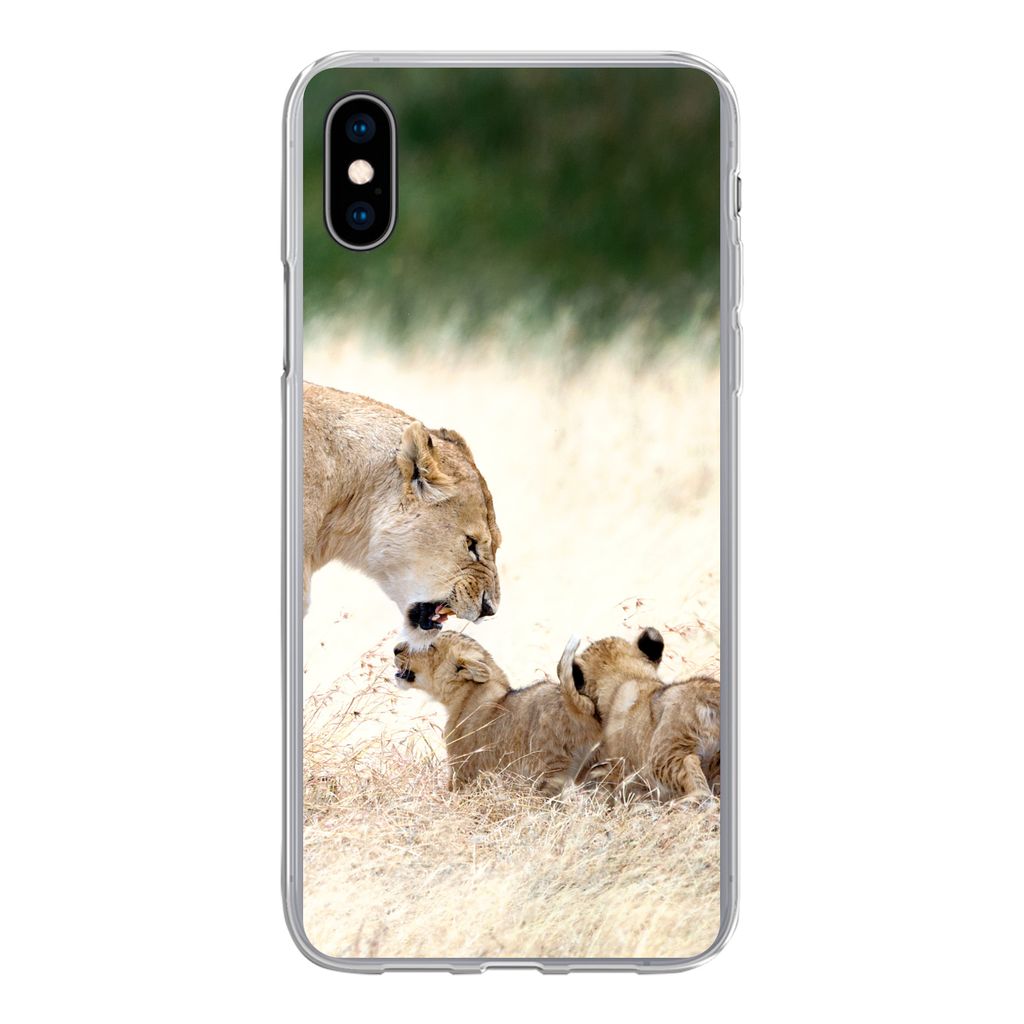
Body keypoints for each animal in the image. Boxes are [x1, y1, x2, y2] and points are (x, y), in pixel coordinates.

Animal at [393, 632, 602, 793]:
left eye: (430, 646)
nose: (395, 649)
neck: (466, 693)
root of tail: (578, 703)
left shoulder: (463, 771)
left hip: (546, 771)